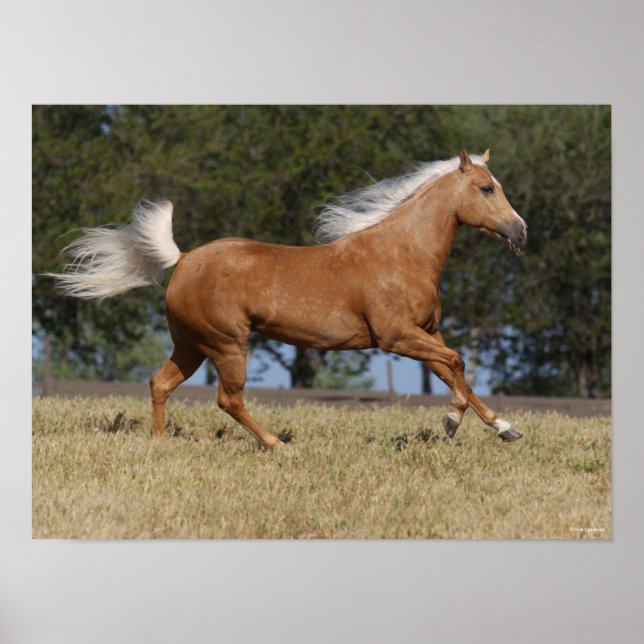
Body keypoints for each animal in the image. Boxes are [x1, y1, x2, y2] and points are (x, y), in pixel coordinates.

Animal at [49, 148, 527, 448]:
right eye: (487, 189)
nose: (521, 230)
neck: (401, 254)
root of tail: (182, 259)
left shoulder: (425, 333)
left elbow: (455, 372)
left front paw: (506, 428)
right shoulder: (396, 337)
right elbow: (458, 366)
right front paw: (450, 423)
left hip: (191, 346)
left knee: (160, 383)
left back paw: (160, 442)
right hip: (227, 344)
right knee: (228, 399)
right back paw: (277, 444)